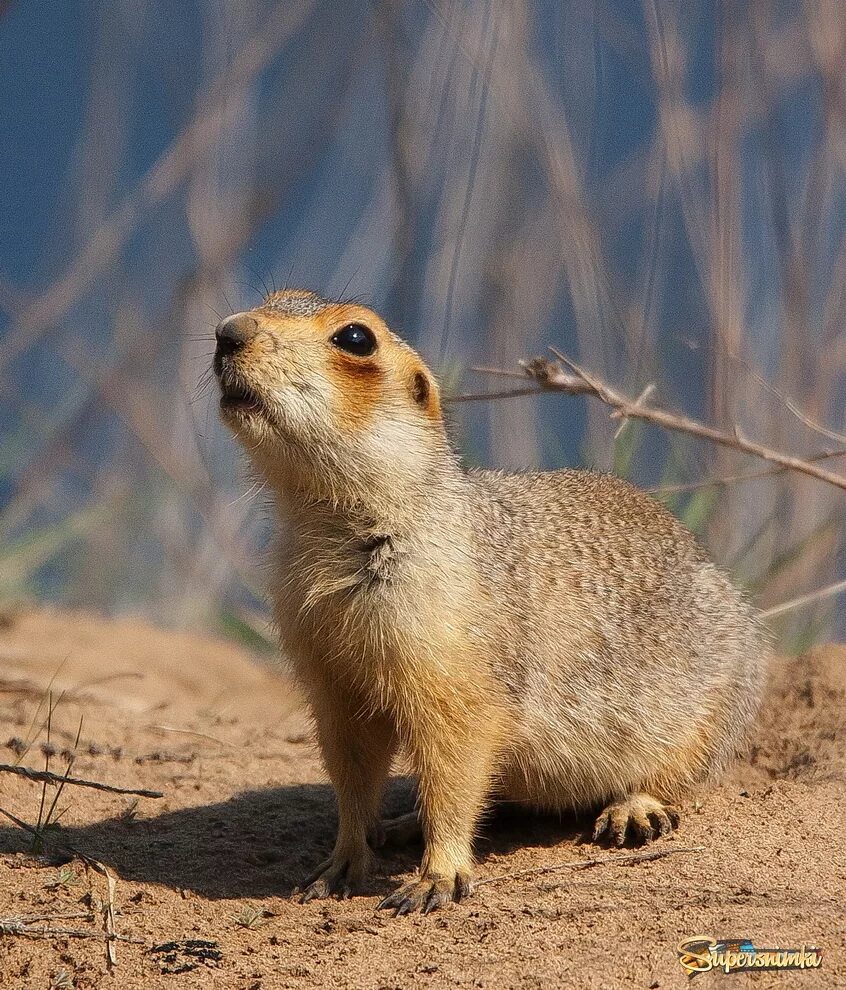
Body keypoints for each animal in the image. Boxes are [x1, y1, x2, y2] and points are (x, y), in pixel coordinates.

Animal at [215, 290, 772, 920]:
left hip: (717, 704)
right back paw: (402, 823)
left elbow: (455, 761)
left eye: (356, 338)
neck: (329, 524)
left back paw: (634, 809)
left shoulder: (452, 659)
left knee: (678, 775)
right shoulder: (329, 673)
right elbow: (351, 768)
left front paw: (436, 877)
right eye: (270, 300)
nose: (227, 332)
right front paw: (340, 863)